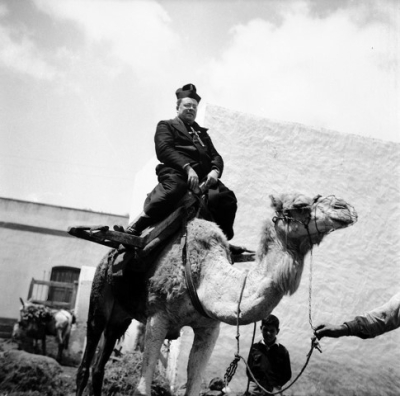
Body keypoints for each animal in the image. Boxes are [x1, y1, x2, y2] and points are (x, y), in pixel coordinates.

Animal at [75, 193, 356, 396]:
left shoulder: (209, 327)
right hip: (100, 298)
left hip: (121, 316)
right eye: (300, 205)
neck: (203, 276)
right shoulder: (158, 318)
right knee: (86, 360)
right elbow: (142, 389)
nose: (346, 208)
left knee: (100, 364)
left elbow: (192, 388)